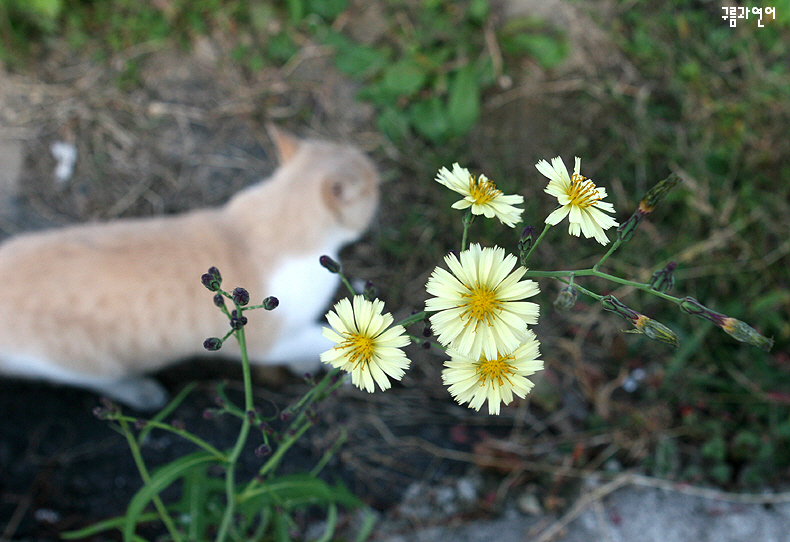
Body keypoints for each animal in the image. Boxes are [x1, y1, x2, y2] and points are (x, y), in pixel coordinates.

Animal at [0, 125, 380, 410]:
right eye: (373, 185)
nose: (381, 177)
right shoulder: (271, 340)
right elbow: (319, 338)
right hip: (77, 361)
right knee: (106, 379)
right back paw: (144, 392)